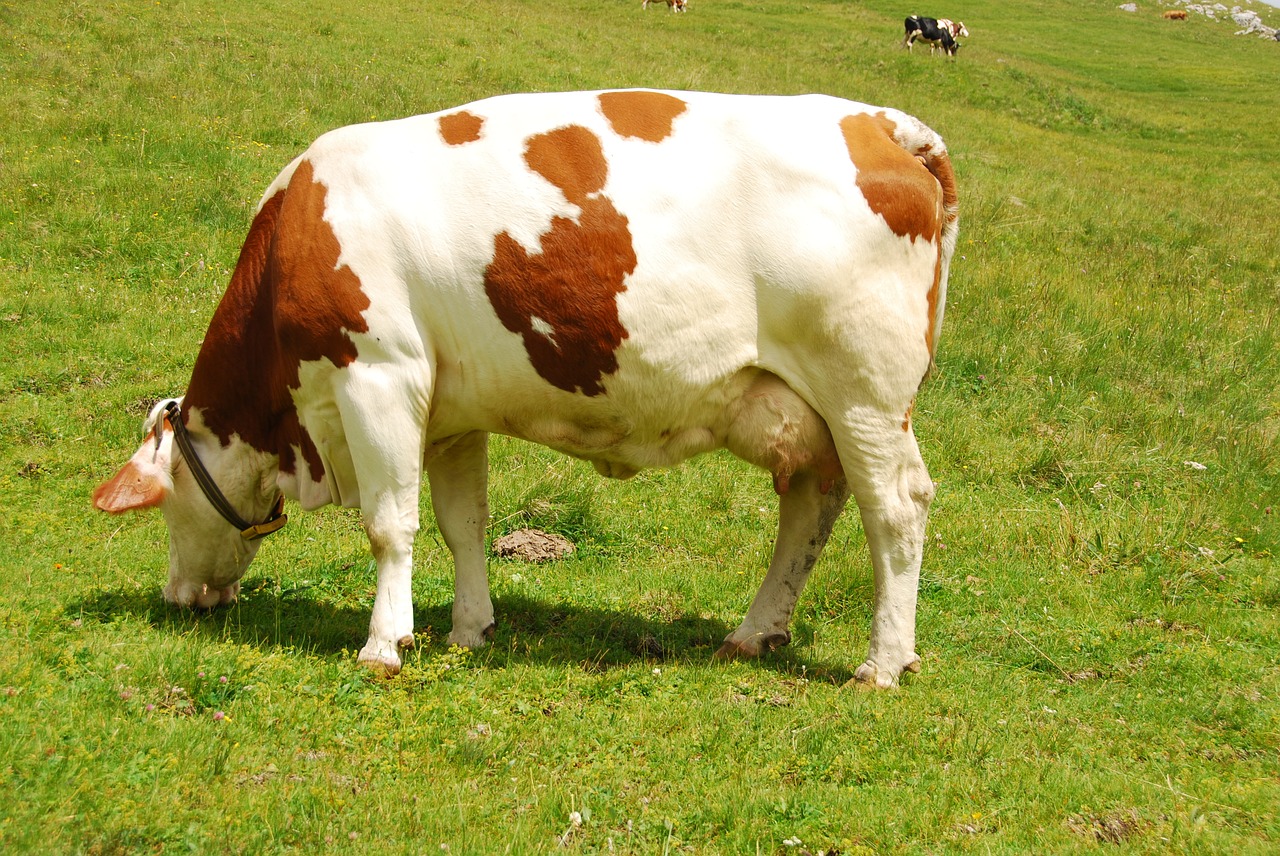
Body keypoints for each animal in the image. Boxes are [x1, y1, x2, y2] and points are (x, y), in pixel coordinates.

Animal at [94, 88, 962, 685]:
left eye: (163, 504)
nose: (177, 596)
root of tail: (881, 123)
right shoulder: (448, 410)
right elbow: (462, 524)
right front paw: (467, 629)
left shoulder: (378, 375)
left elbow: (388, 525)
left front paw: (382, 645)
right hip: (807, 407)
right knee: (811, 507)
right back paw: (754, 633)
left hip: (865, 394)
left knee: (896, 509)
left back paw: (884, 663)